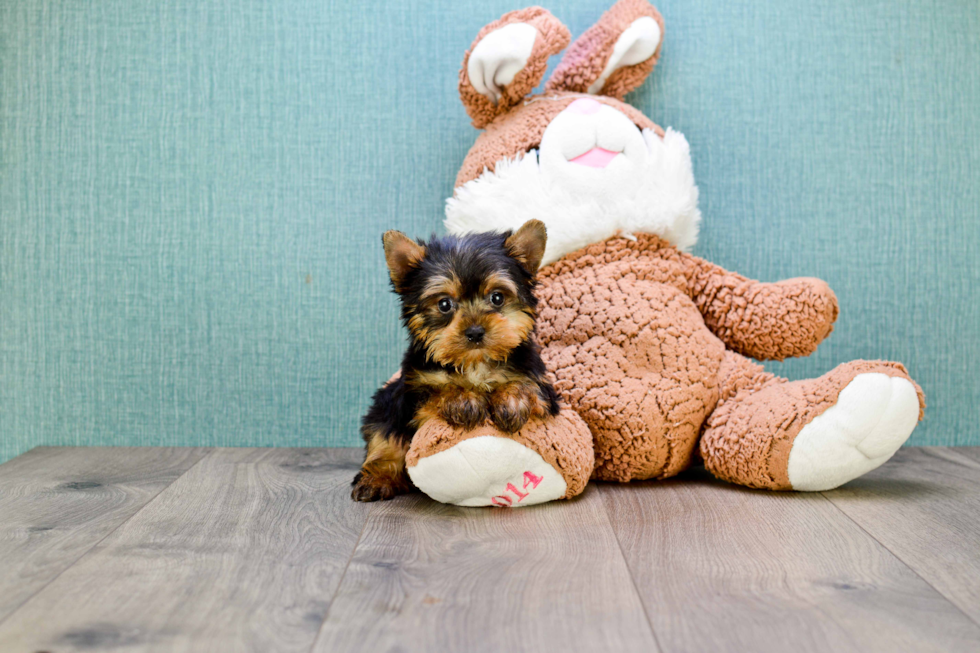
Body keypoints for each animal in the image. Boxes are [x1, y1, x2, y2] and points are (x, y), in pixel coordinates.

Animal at [352, 219, 560, 500]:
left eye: (497, 297)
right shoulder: (414, 391)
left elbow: (526, 386)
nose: (475, 331)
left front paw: (512, 401)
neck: (474, 363)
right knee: (385, 437)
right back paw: (377, 478)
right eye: (444, 304)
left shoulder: (541, 384)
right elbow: (438, 392)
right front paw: (463, 400)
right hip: (385, 405)